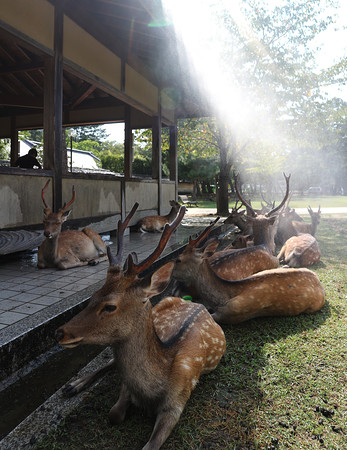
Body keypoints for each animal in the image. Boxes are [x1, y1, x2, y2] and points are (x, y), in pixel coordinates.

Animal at [55, 204, 227, 450]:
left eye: (110, 306)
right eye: (93, 296)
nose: (60, 332)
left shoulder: (177, 402)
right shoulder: (127, 386)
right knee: (111, 362)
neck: (151, 390)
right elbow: (114, 414)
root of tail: (197, 304)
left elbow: (150, 443)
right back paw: (73, 385)